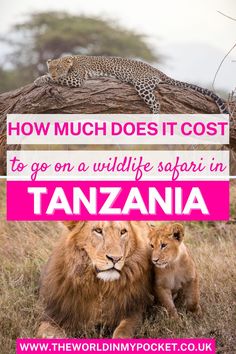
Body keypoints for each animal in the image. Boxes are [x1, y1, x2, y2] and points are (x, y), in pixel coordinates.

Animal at [34, 54, 228, 114]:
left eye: (58, 68)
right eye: (51, 67)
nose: (52, 72)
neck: (72, 61)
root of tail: (156, 70)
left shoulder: (77, 79)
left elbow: (57, 79)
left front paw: (40, 79)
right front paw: (41, 77)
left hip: (142, 85)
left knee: (156, 103)